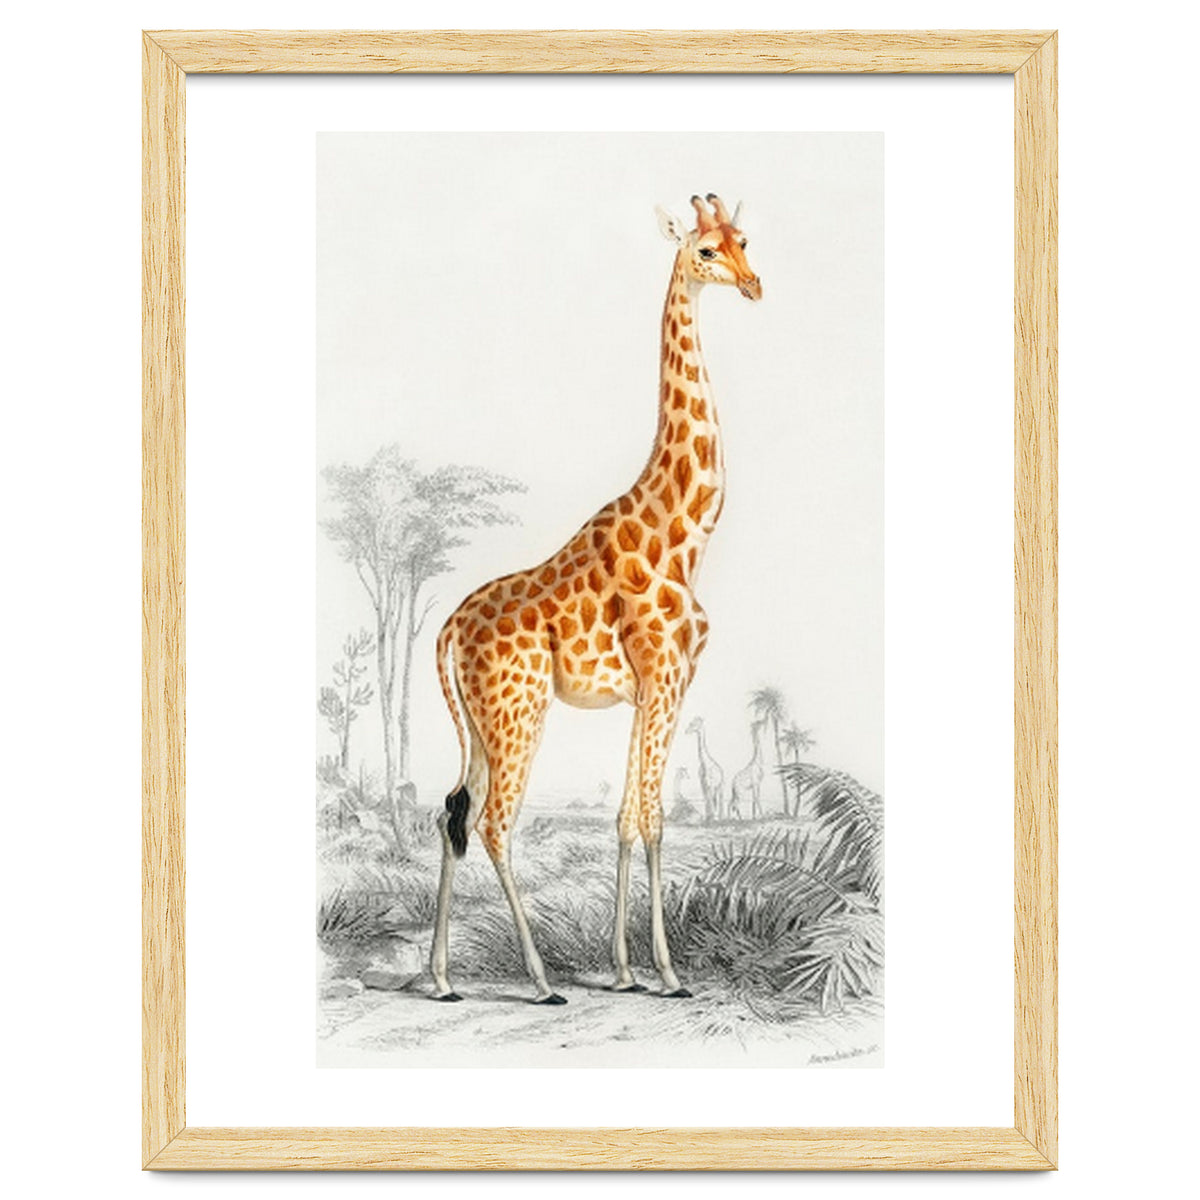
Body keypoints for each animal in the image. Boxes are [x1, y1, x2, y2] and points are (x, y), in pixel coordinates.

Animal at [430, 193, 761, 1004]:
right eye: (705, 251)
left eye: (744, 240)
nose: (753, 284)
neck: (685, 533)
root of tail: (447, 629)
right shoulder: (665, 679)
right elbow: (654, 818)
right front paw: (667, 973)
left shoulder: (654, 689)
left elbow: (628, 816)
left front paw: (626, 970)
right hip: (518, 713)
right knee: (493, 823)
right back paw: (543, 980)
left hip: (482, 724)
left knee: (452, 811)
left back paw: (442, 979)